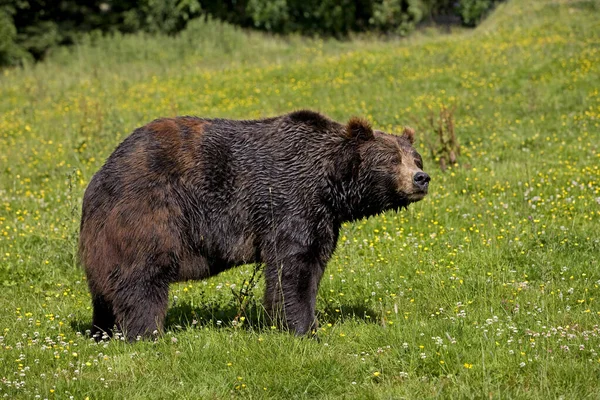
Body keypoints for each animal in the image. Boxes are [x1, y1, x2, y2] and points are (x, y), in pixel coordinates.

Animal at [79, 110, 428, 340]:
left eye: (416, 158)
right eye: (391, 159)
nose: (421, 178)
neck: (329, 187)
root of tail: (102, 172)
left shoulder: (323, 219)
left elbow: (314, 263)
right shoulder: (288, 202)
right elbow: (293, 269)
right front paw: (304, 330)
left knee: (104, 288)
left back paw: (101, 331)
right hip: (150, 210)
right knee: (142, 275)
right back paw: (148, 333)